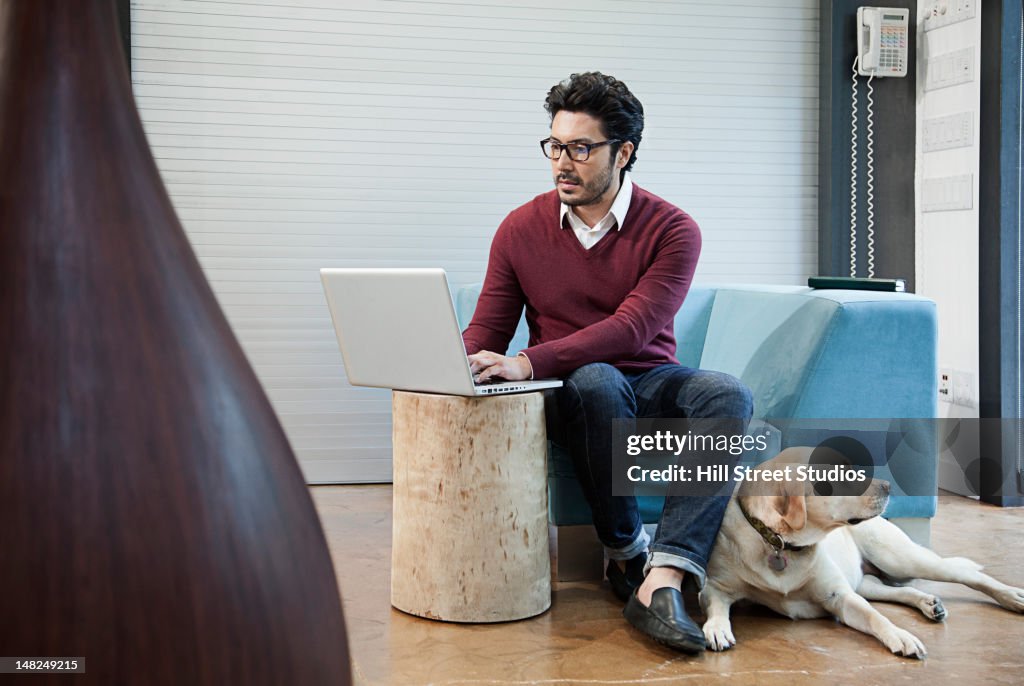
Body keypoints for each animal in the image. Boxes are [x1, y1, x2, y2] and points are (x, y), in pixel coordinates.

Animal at [700, 448, 1024, 659]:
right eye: (840, 472)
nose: (888, 485)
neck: (780, 544)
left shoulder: (840, 596)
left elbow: (875, 617)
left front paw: (901, 635)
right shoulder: (717, 587)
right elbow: (716, 606)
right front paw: (717, 628)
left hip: (901, 558)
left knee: (969, 574)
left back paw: (1012, 597)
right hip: (866, 580)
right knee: (895, 590)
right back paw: (929, 604)